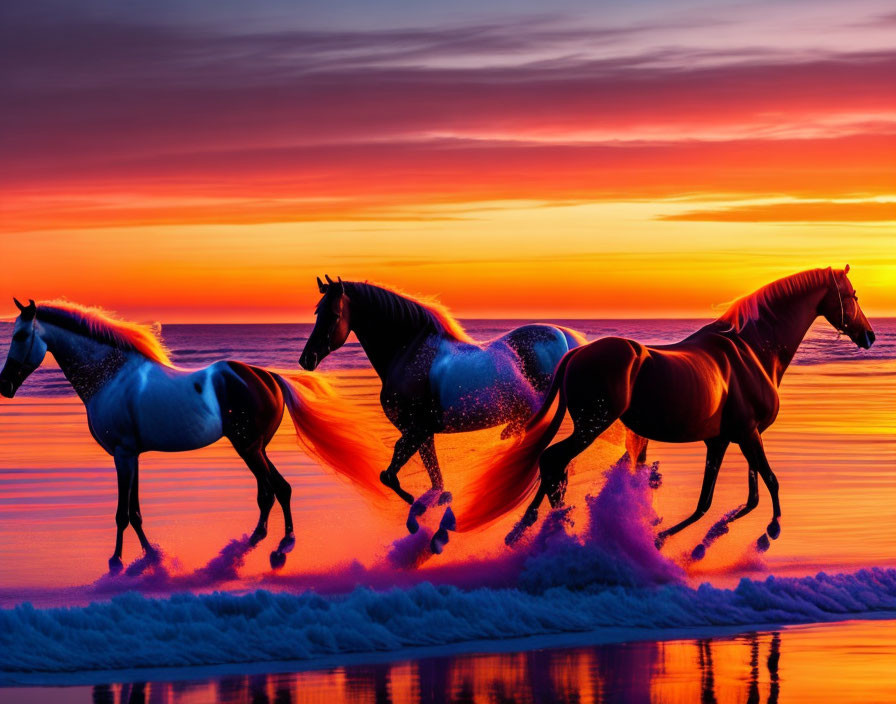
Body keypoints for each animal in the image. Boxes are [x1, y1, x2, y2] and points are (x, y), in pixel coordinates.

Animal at [0, 300, 392, 576]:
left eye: (19, 336)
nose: (4, 386)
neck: (110, 377)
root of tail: (267, 377)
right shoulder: (132, 456)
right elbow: (136, 512)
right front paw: (152, 555)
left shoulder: (122, 455)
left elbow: (122, 513)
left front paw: (117, 561)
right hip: (256, 448)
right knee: (275, 490)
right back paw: (264, 543)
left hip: (248, 447)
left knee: (273, 490)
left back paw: (275, 547)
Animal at [300, 276, 636, 552]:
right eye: (317, 312)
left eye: (332, 315)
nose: (307, 359)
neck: (410, 354)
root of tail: (568, 343)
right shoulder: (423, 434)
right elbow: (433, 478)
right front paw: (438, 508)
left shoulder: (415, 431)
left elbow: (390, 476)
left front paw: (421, 517)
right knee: (555, 464)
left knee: (551, 464)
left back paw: (527, 527)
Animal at [472, 268, 880, 552]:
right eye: (853, 295)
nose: (870, 336)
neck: (752, 351)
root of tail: (577, 353)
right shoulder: (749, 435)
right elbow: (767, 483)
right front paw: (770, 532)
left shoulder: (724, 441)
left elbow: (719, 500)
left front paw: (685, 541)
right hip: (591, 424)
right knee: (553, 461)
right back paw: (550, 525)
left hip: (589, 426)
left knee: (552, 465)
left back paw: (528, 528)